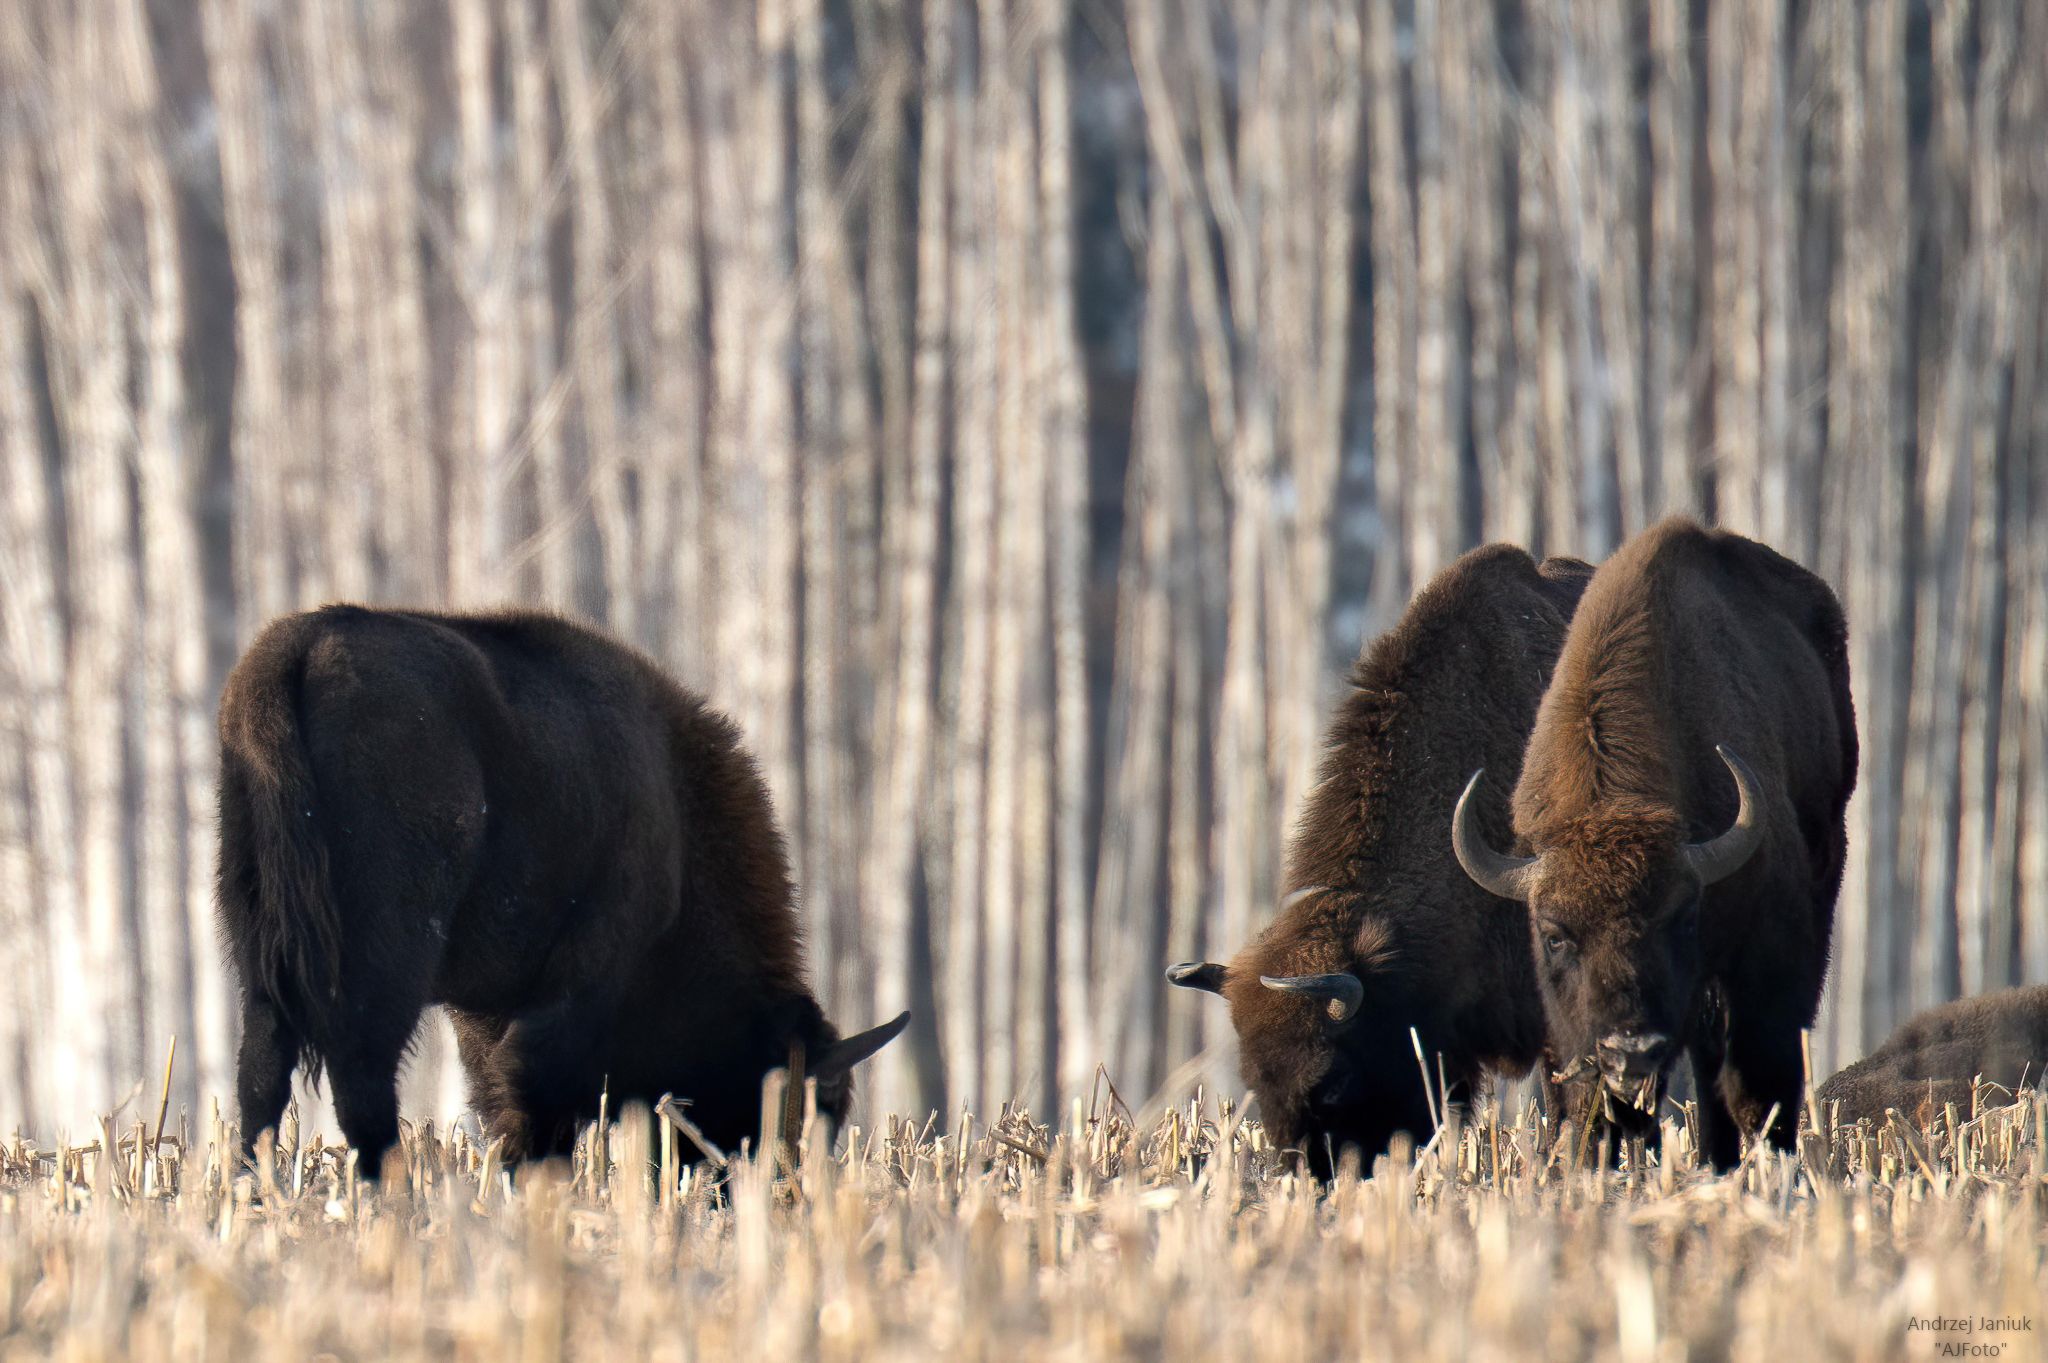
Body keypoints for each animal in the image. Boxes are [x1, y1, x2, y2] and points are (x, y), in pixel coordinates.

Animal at [214, 601, 905, 1154]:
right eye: (814, 1104)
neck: (676, 817)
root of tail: (298, 648)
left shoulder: (486, 1012)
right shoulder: (582, 982)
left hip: (255, 937)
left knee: (261, 1073)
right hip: (391, 952)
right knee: (362, 1075)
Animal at [1449, 515, 1867, 1162]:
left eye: (1679, 919)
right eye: (1554, 935)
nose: (1631, 1049)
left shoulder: (1766, 954)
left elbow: (1758, 1088)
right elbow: (1595, 1108)